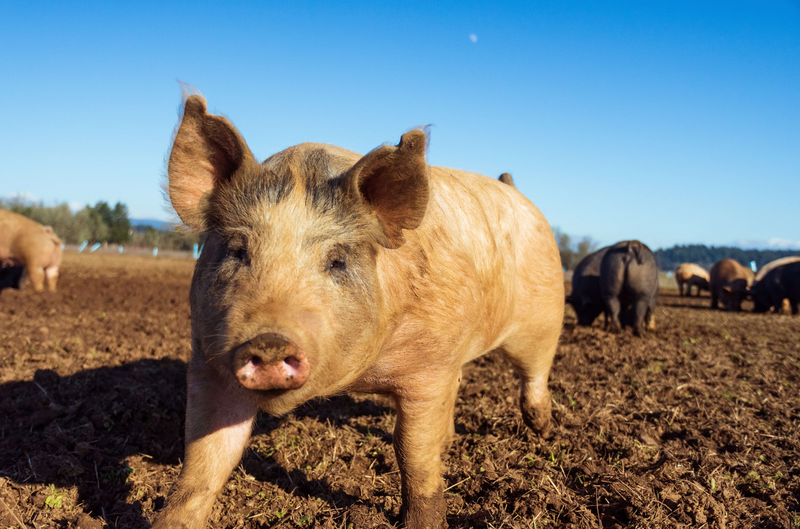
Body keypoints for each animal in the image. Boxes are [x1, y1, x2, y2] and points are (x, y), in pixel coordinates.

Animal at [151, 95, 564, 529]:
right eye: (237, 251)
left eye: (337, 261)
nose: (269, 340)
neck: (355, 379)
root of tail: (513, 188)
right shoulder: (208, 360)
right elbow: (205, 459)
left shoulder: (429, 368)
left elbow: (412, 452)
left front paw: (419, 522)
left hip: (544, 315)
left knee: (534, 373)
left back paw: (542, 430)